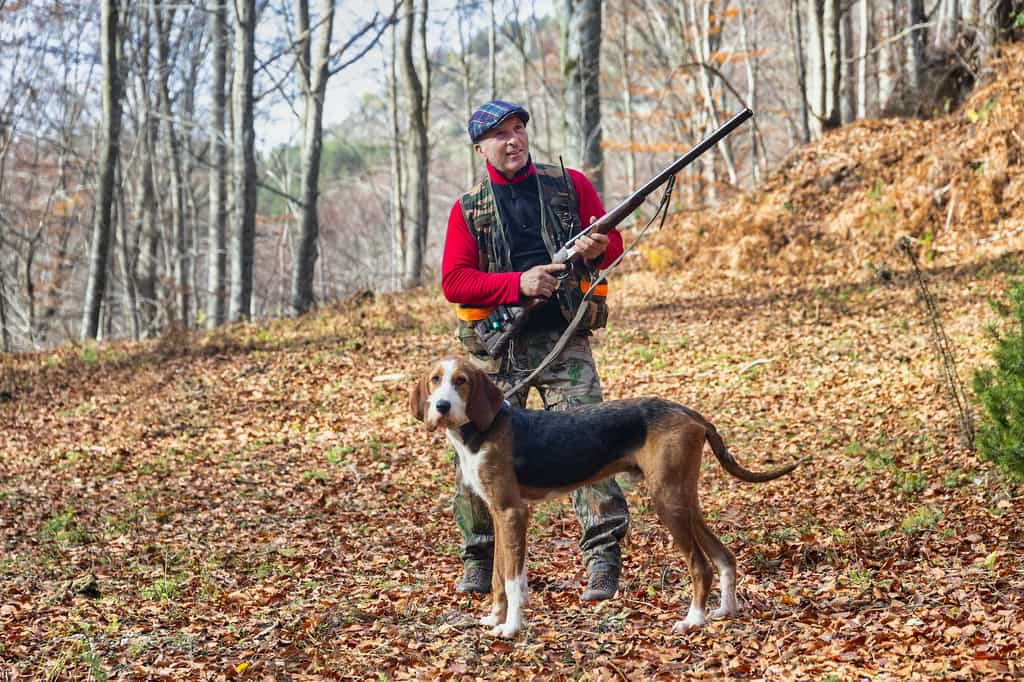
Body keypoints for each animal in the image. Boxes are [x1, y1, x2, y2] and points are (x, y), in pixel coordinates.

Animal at [407, 356, 798, 638]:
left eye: (462, 381)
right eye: (435, 380)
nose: (441, 407)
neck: (480, 431)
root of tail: (688, 412)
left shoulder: (512, 512)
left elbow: (514, 580)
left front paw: (512, 628)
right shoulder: (498, 513)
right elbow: (498, 577)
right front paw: (493, 618)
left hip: (667, 501)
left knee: (700, 565)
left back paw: (693, 621)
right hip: (685, 500)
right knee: (725, 557)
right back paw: (725, 610)